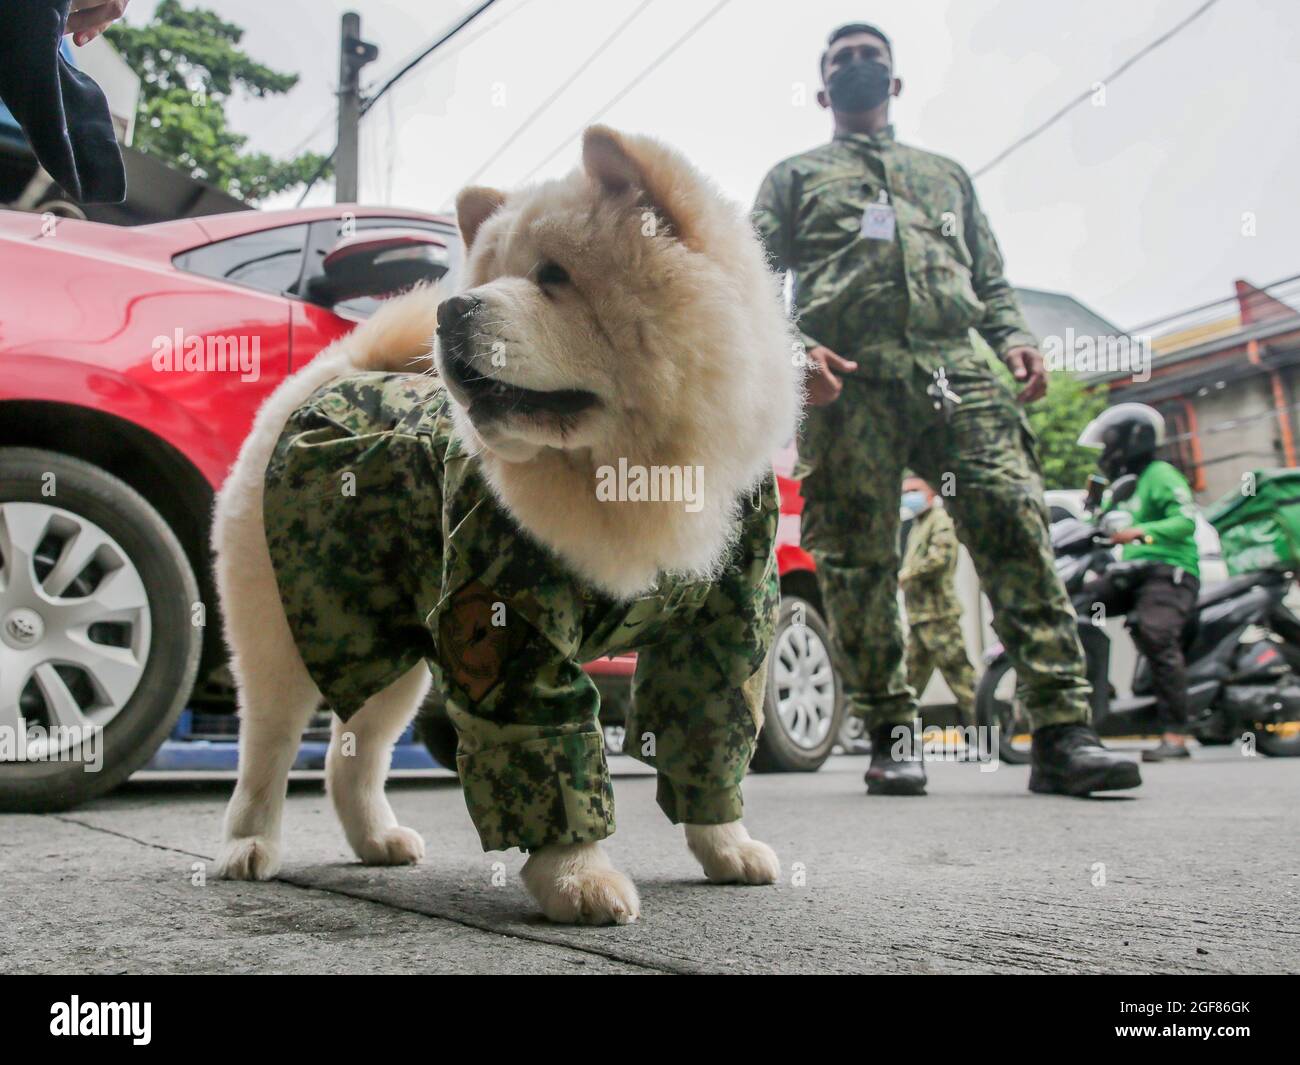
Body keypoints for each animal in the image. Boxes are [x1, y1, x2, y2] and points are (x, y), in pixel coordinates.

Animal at [213, 124, 800, 925]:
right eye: (487, 274)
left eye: (554, 275)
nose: (450, 309)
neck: (624, 473)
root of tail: (324, 381)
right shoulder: (506, 617)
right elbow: (548, 748)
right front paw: (579, 879)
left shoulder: (725, 624)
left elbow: (709, 735)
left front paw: (726, 847)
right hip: (288, 629)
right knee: (266, 745)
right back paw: (248, 845)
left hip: (391, 650)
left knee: (352, 752)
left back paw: (378, 840)